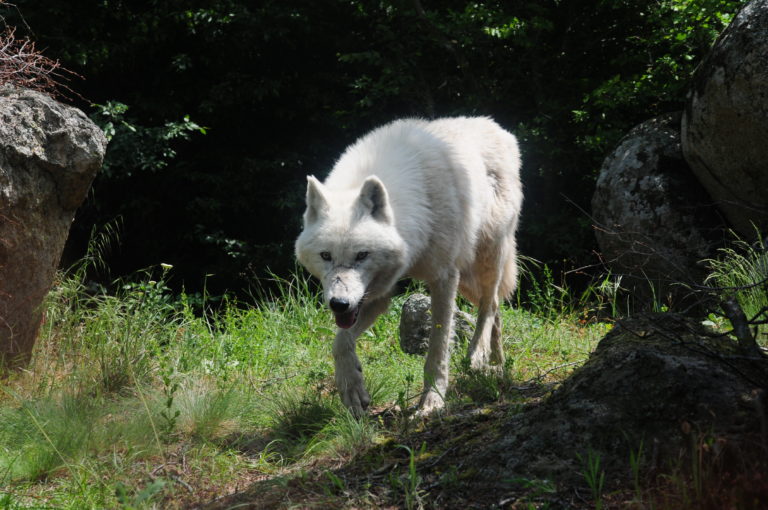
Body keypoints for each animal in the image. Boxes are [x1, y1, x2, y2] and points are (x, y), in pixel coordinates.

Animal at [294, 115, 520, 414]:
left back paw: (478, 355)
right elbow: (340, 341)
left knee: (490, 304)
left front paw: (432, 401)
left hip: (485, 256)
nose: (338, 304)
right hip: (469, 275)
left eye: (362, 255)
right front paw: (352, 387)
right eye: (326, 256)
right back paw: (497, 365)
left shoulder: (444, 277)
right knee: (497, 309)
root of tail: (496, 127)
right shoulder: (378, 294)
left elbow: (437, 349)